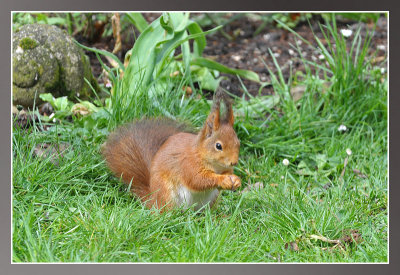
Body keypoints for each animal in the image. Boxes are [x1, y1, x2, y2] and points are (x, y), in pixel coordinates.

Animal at [103, 90, 241, 211]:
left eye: (238, 142)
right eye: (218, 146)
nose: (234, 162)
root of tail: (153, 200)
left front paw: (235, 180)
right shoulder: (188, 165)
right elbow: (198, 180)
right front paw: (222, 180)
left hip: (211, 199)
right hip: (168, 194)